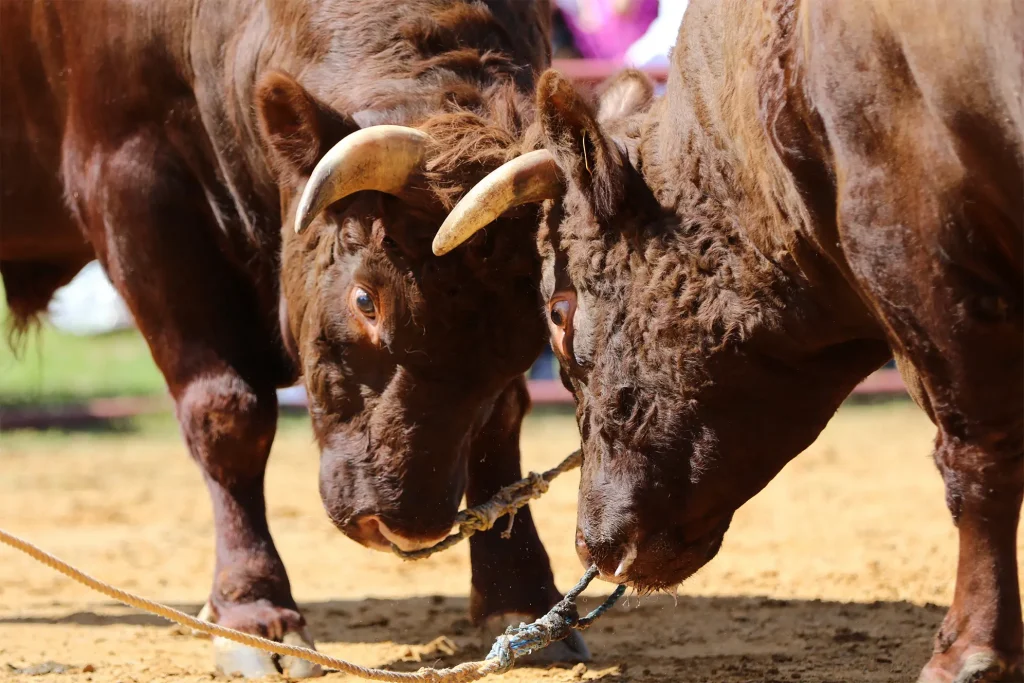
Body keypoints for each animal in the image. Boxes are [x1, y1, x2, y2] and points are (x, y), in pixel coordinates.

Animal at [0, 0, 589, 671]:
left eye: (536, 329)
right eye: (366, 300)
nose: (406, 524)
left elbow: (501, 417)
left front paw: (520, 598)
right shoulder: (134, 185)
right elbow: (227, 414)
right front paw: (254, 612)